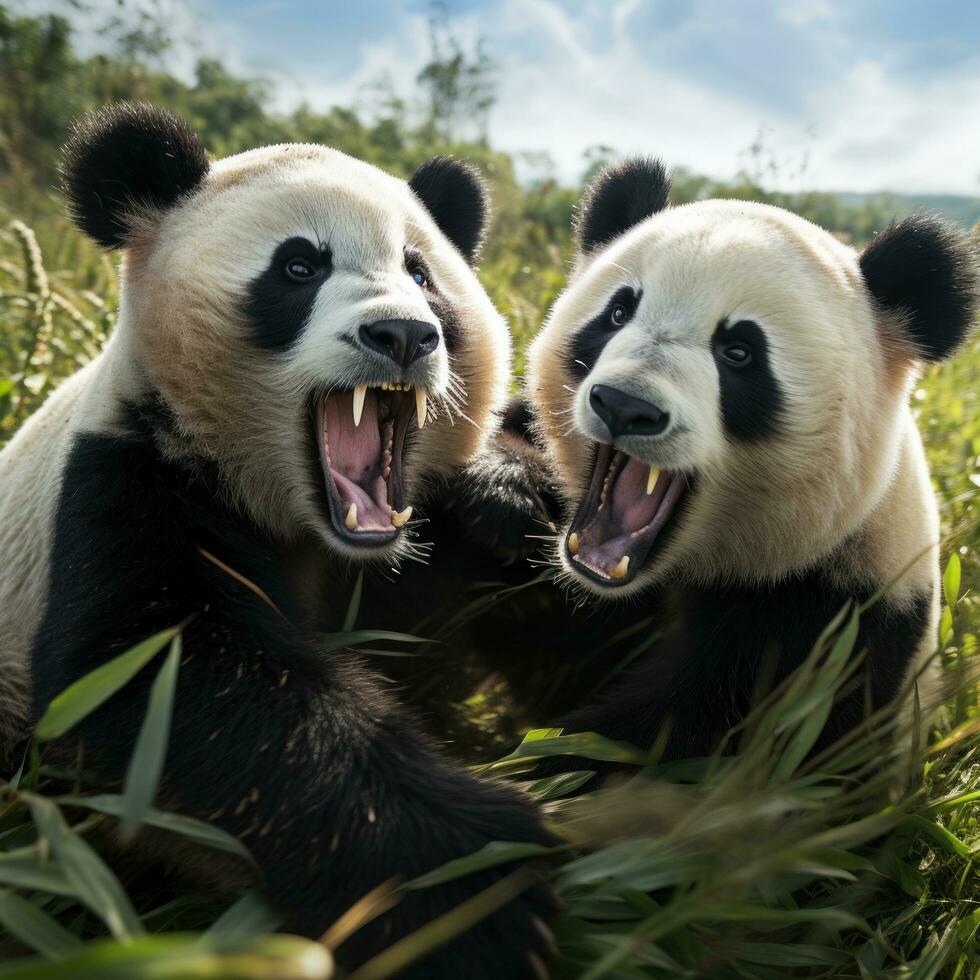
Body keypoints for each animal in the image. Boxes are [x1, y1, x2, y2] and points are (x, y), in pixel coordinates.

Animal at [0, 103, 556, 976]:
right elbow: (166, 686)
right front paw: (474, 891)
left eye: (422, 274)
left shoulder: (419, 557)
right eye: (298, 267)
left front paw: (509, 488)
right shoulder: (127, 479)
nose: (403, 335)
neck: (317, 529)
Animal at [516, 157, 976, 760]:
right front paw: (503, 490)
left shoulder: (830, 623)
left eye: (739, 353)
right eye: (617, 313)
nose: (624, 406)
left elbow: (681, 740)